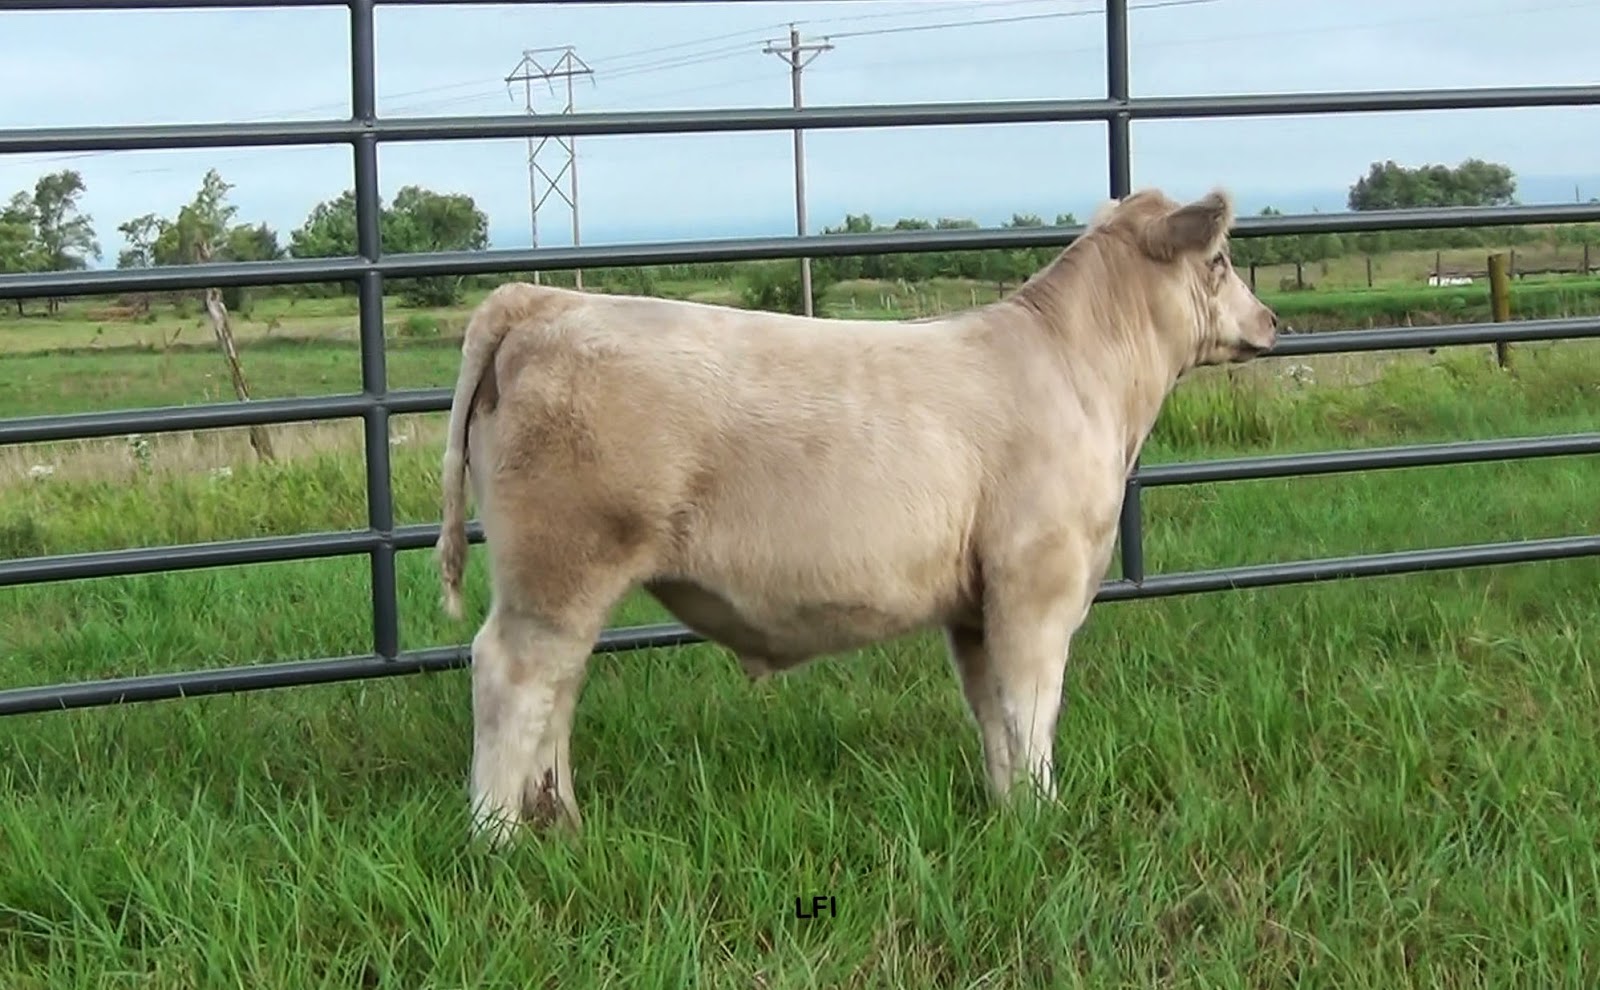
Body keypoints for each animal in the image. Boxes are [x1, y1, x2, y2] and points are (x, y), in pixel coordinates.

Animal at [435, 187, 1280, 844]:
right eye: (1220, 262)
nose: (1272, 320)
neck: (1083, 377)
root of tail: (544, 299)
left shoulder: (976, 604)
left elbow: (992, 712)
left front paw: (1009, 815)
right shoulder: (1036, 581)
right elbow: (1031, 708)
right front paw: (1046, 817)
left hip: (567, 581)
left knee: (559, 685)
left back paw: (561, 824)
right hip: (557, 564)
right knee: (511, 673)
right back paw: (498, 837)